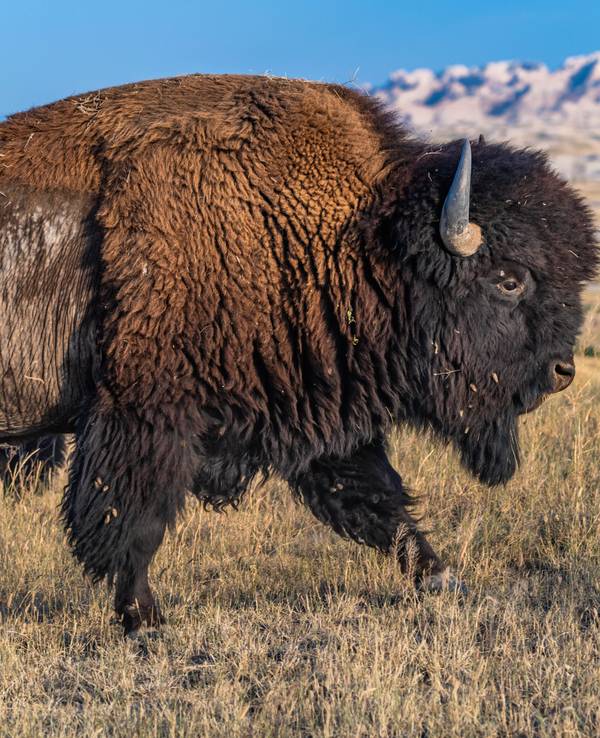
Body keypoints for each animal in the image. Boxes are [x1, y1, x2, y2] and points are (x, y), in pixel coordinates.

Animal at [0, 75, 596, 635]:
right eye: (509, 280)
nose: (562, 371)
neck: (356, 237)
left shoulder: (318, 408)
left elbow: (379, 501)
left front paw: (445, 580)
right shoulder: (146, 414)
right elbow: (131, 521)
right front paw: (144, 619)